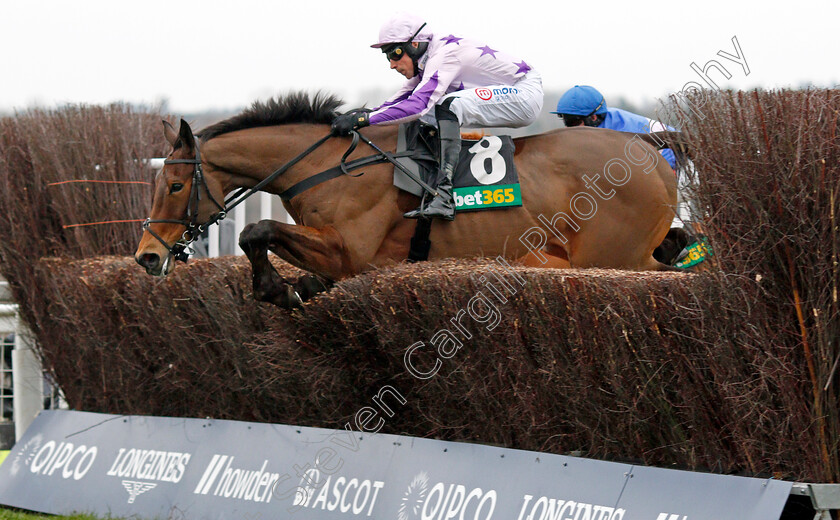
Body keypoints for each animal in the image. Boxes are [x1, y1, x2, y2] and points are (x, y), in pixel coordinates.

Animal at [135, 92, 680, 308]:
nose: (147, 256)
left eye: (176, 186)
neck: (327, 165)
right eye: (158, 185)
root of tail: (649, 148)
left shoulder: (348, 250)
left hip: (616, 256)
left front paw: (273, 288)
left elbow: (256, 229)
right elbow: (286, 257)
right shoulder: (345, 261)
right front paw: (293, 288)